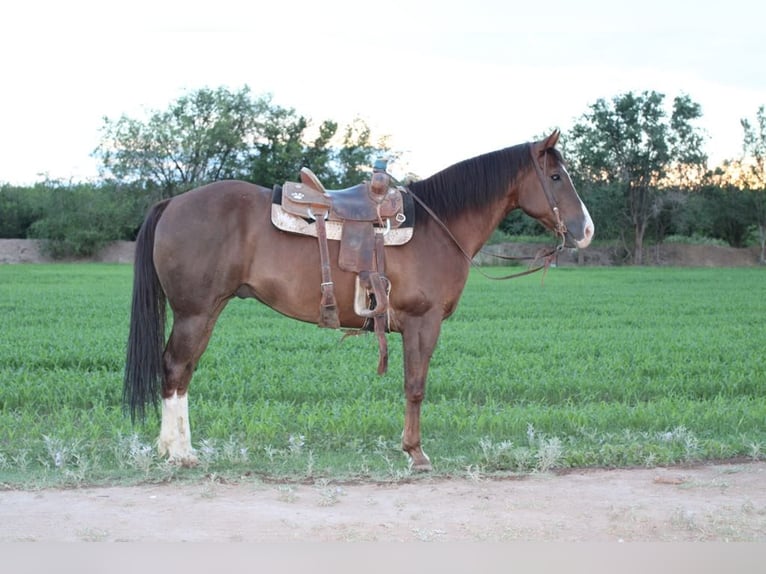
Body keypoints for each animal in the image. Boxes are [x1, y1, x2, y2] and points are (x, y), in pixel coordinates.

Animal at [123, 130, 594, 471]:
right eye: (555, 177)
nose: (586, 230)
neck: (439, 226)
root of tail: (173, 202)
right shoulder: (423, 323)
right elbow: (415, 386)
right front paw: (416, 453)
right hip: (195, 312)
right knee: (176, 368)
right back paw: (179, 453)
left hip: (205, 311)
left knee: (183, 372)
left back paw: (176, 449)